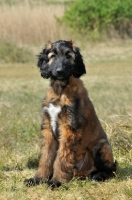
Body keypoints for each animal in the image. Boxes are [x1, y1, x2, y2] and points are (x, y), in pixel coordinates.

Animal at [24, 39, 116, 188]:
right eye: (53, 56)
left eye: (69, 56)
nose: (59, 71)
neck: (60, 90)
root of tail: (82, 173)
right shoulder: (48, 128)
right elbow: (46, 157)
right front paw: (38, 179)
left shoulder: (69, 128)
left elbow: (62, 157)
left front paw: (56, 181)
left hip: (102, 146)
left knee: (111, 169)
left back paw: (98, 176)